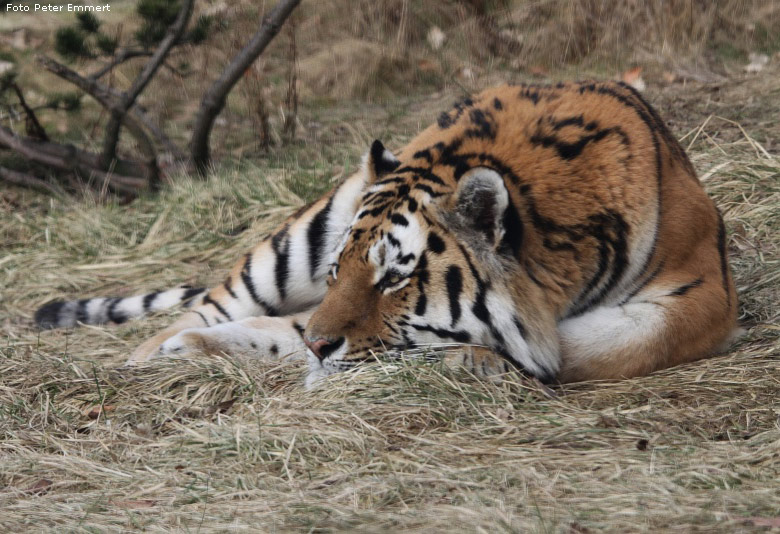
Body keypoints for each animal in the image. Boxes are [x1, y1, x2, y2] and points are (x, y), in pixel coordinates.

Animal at [35, 80, 736, 390]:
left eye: (396, 277)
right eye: (340, 270)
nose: (322, 347)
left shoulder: (702, 292)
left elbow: (600, 345)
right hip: (292, 244)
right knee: (208, 310)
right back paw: (156, 356)